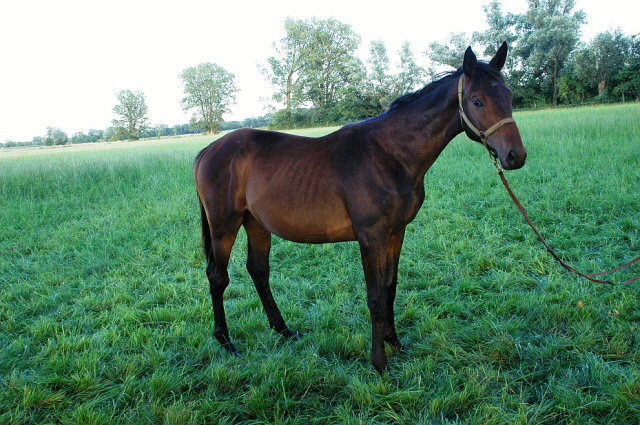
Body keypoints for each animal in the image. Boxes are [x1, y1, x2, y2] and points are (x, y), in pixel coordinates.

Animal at [194, 42, 524, 372]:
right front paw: (380, 363)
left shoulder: (396, 233)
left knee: (259, 271)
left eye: (509, 96)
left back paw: (284, 330)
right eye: (477, 101)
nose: (515, 156)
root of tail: (209, 149)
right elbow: (375, 296)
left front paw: (395, 343)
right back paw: (226, 342)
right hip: (224, 226)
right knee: (217, 277)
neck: (390, 155)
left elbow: (390, 288)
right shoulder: (370, 237)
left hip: (257, 224)